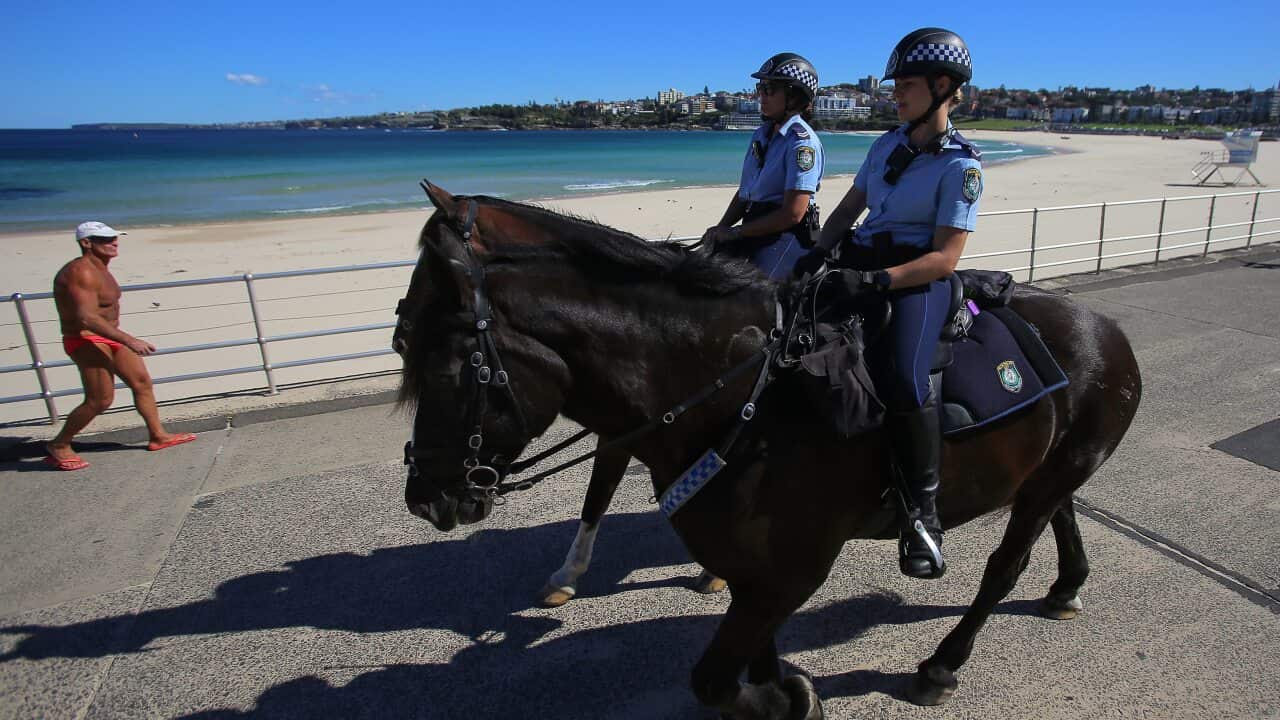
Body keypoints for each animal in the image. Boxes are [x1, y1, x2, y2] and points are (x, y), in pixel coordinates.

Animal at [397, 181, 1142, 718]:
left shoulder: (793, 568)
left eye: (449, 364)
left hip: (1052, 477)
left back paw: (942, 664)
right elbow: (750, 651)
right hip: (1046, 471)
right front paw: (781, 687)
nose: (424, 497)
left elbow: (714, 680)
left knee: (1004, 567)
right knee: (1060, 511)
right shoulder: (758, 571)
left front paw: (787, 698)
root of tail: (1102, 326)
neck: (741, 394)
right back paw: (1068, 585)